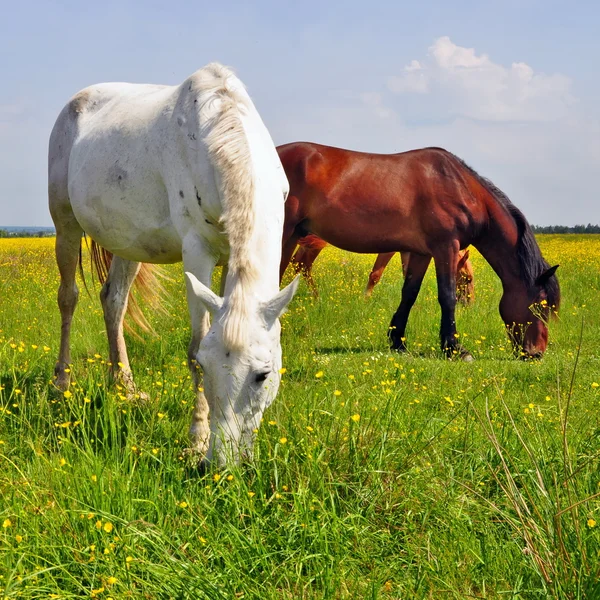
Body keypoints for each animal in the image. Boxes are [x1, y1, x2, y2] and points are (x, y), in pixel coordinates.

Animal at [48, 63, 298, 466]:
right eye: (207, 366)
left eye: (263, 375)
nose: (222, 464)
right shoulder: (197, 252)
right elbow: (195, 343)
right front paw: (197, 439)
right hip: (65, 224)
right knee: (68, 297)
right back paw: (61, 384)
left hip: (127, 242)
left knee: (113, 301)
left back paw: (125, 389)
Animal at [288, 234, 476, 304]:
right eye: (468, 278)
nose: (470, 304)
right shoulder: (389, 250)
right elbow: (375, 275)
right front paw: (365, 299)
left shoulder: (406, 251)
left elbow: (408, 276)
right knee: (301, 263)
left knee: (300, 263)